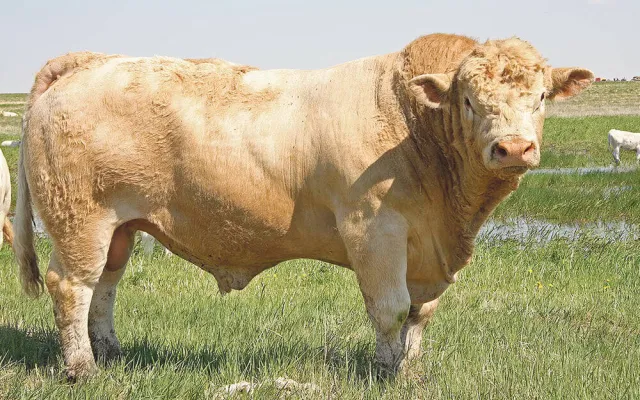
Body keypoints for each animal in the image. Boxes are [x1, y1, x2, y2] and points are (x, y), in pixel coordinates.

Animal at [13, 33, 593, 380]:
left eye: (541, 97)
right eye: (469, 100)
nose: (513, 148)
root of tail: (87, 62)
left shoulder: (428, 250)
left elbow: (420, 313)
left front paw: (409, 370)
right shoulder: (374, 229)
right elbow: (391, 308)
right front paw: (386, 373)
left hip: (120, 226)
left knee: (105, 287)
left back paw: (111, 353)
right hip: (80, 219)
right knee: (73, 287)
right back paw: (83, 368)